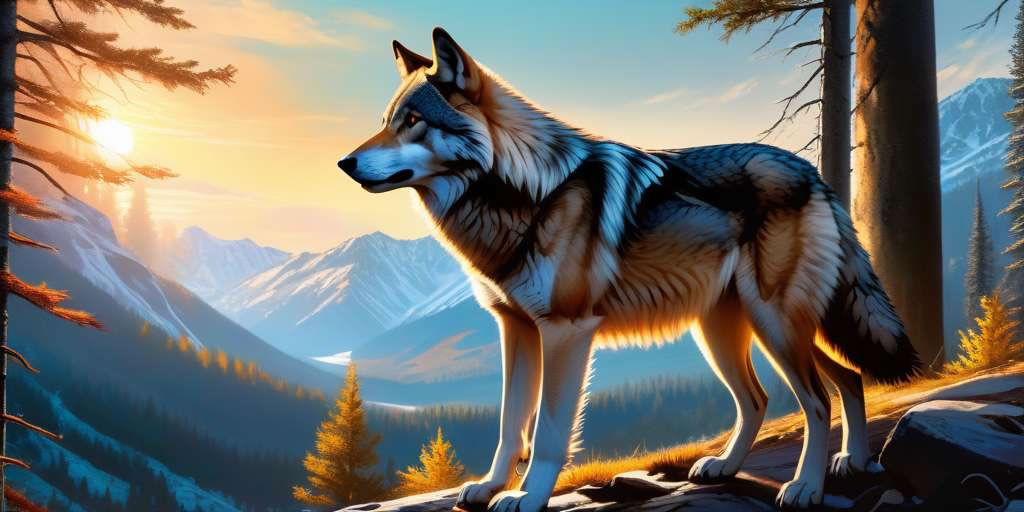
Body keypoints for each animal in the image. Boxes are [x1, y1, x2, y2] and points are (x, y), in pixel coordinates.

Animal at [337, 28, 921, 511]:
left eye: (413, 122)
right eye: (386, 123)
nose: (344, 163)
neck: (524, 193)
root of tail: (814, 174)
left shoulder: (566, 331)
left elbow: (547, 430)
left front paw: (528, 496)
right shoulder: (515, 329)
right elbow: (509, 424)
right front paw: (488, 487)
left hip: (774, 324)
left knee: (819, 398)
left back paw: (806, 487)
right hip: (736, 331)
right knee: (804, 388)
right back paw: (797, 463)